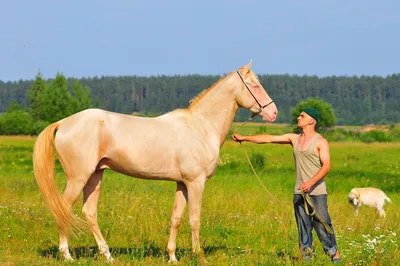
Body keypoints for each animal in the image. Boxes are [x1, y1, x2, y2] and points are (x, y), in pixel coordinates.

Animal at [32, 60, 276, 262]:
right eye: (255, 86)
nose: (273, 112)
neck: (200, 127)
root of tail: (63, 122)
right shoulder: (196, 183)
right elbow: (194, 219)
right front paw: (200, 257)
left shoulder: (182, 184)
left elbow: (176, 218)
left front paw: (172, 257)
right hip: (78, 178)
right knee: (63, 209)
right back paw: (67, 255)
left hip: (95, 176)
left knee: (89, 212)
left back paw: (108, 255)